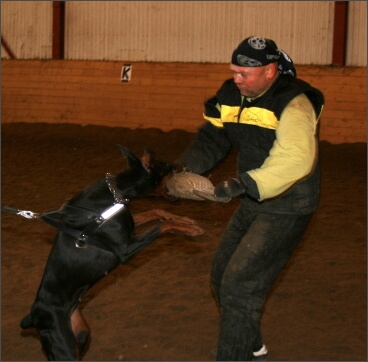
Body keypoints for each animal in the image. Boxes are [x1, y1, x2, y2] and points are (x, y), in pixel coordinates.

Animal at [19, 146, 204, 360]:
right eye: (169, 166)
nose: (186, 165)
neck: (117, 192)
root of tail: (33, 315)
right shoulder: (125, 250)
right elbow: (161, 225)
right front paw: (190, 228)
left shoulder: (130, 228)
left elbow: (156, 212)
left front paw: (187, 221)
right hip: (62, 344)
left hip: (80, 332)